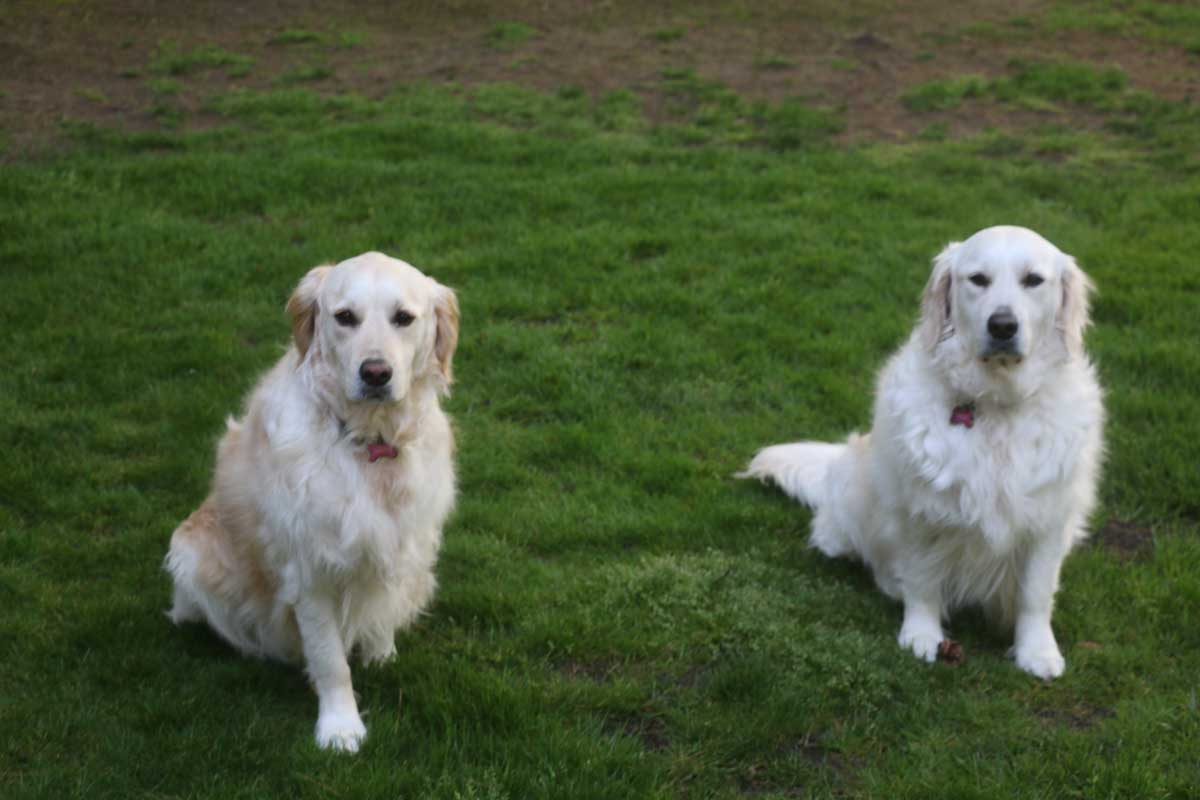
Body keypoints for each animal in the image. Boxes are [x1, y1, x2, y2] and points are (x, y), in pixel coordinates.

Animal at [162, 253, 456, 753]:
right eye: (345, 317)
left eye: (403, 318)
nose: (375, 373)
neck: (369, 441)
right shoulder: (310, 570)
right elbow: (330, 659)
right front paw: (340, 728)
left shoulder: (404, 543)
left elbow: (383, 607)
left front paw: (381, 653)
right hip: (190, 554)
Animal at [739, 226, 1104, 681]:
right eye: (978, 279)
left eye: (1033, 280)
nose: (1002, 325)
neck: (995, 402)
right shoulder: (920, 511)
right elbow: (922, 581)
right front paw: (921, 635)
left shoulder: (1049, 518)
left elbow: (1035, 594)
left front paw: (1036, 651)